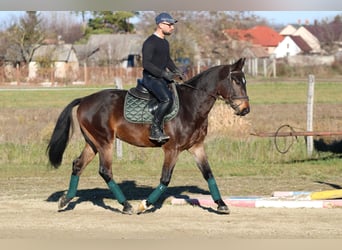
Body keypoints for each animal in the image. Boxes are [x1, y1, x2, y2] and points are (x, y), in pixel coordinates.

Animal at [46, 57, 250, 215]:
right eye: (236, 82)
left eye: (244, 81)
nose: (245, 110)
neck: (191, 104)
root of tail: (85, 100)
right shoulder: (172, 149)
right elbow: (165, 179)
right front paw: (144, 205)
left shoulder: (196, 147)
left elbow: (208, 174)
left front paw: (222, 204)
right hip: (105, 143)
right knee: (105, 171)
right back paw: (126, 205)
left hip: (93, 143)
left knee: (78, 165)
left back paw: (65, 200)